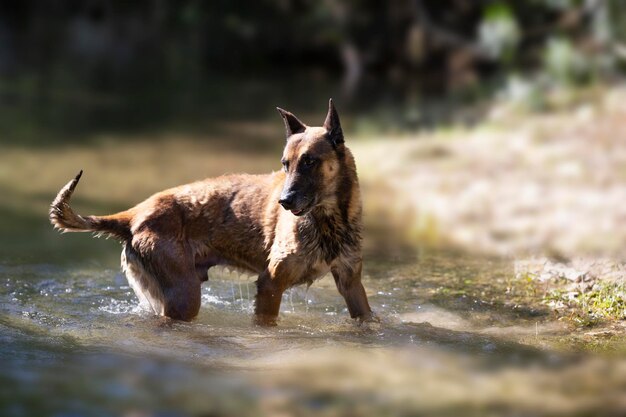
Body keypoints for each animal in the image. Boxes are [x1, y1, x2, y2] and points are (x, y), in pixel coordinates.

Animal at [50, 98, 370, 324]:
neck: (329, 218)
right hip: (184, 297)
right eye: (285, 164)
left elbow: (367, 317)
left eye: (309, 162)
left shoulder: (351, 283)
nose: (285, 202)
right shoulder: (270, 284)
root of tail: (135, 215)